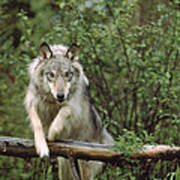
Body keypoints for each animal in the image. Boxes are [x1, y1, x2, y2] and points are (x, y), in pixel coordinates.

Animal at [24, 43, 113, 179]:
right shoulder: (32, 103)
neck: (53, 101)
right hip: (65, 166)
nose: (60, 95)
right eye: (51, 75)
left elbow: (63, 113)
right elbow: (37, 124)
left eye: (67, 74)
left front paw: (51, 134)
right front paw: (41, 146)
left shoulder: (74, 106)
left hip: (85, 167)